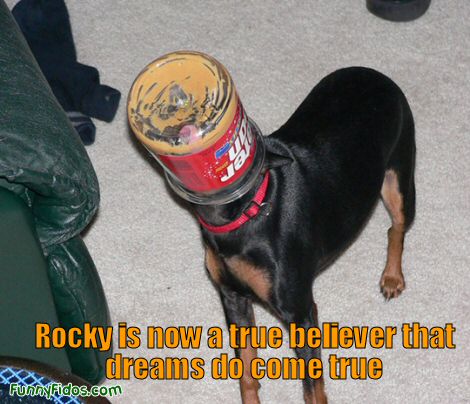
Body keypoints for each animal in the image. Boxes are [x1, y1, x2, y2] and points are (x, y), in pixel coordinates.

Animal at [187, 67, 414, 404]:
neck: (248, 213)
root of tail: (376, 75)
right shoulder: (233, 299)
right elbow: (246, 374)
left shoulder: (301, 314)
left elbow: (312, 389)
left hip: (399, 182)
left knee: (396, 228)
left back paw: (392, 277)